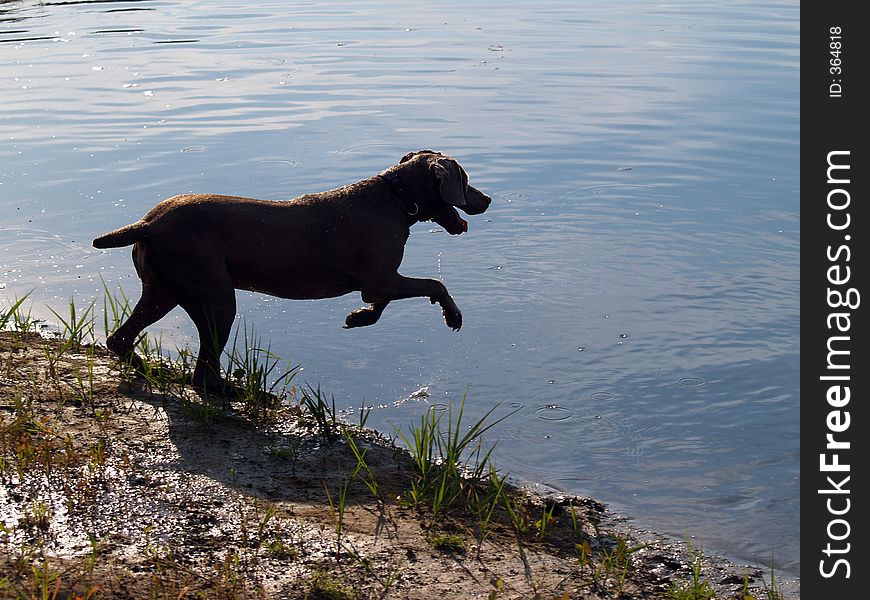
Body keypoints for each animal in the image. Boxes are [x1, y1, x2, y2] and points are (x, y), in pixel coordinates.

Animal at [94, 150, 494, 392]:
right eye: (464, 177)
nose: (488, 199)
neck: (396, 199)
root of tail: (148, 224)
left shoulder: (377, 281)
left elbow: (378, 303)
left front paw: (359, 318)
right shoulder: (382, 277)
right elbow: (434, 283)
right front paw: (452, 315)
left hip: (163, 290)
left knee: (121, 338)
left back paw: (146, 367)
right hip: (215, 297)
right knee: (203, 370)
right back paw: (234, 392)